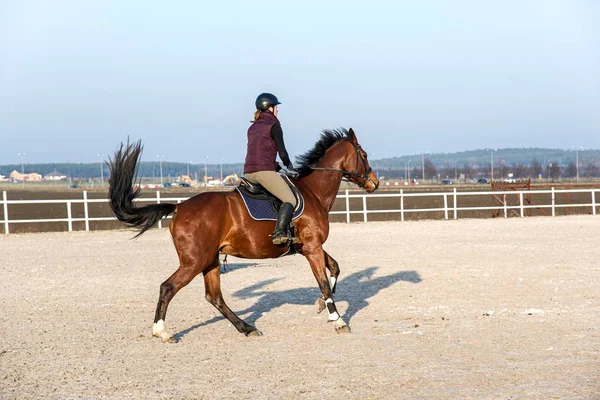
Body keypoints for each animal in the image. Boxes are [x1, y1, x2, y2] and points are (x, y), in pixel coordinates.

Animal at [106, 126, 380, 342]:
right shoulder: (312, 247)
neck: (313, 192)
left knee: (214, 296)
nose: (374, 183)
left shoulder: (308, 247)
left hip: (210, 260)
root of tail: (179, 207)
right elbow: (323, 281)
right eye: (364, 155)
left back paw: (246, 328)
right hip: (195, 261)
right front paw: (338, 319)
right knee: (168, 287)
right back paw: (162, 332)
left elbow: (334, 268)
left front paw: (321, 305)